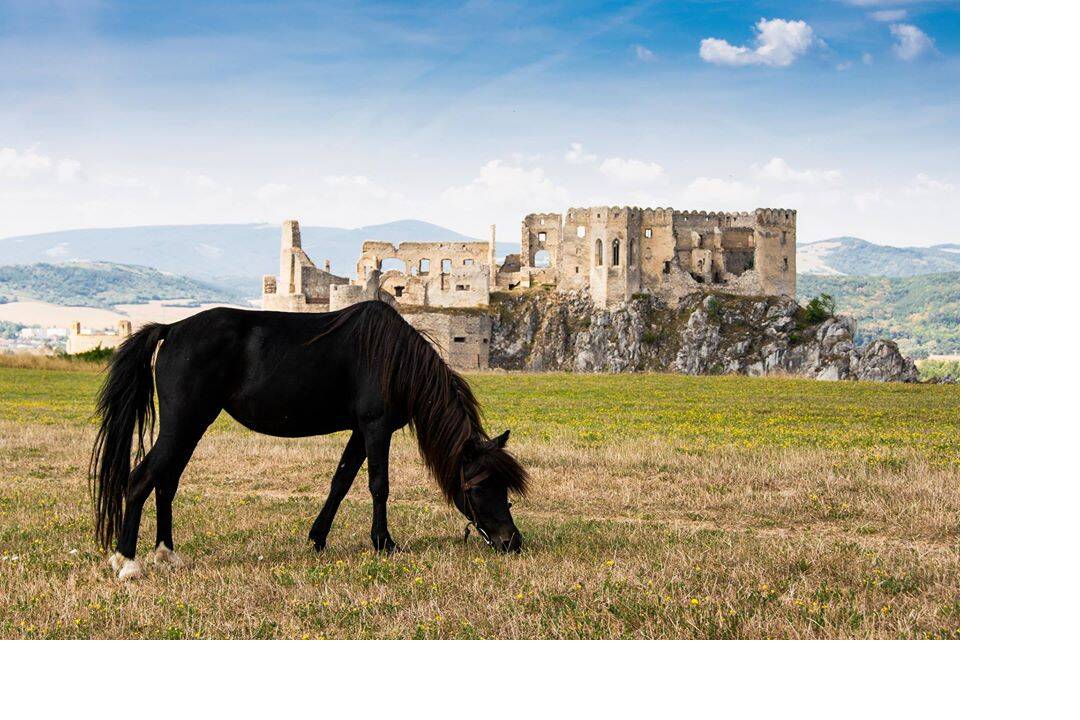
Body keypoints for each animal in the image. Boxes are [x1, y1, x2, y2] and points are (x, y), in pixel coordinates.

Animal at [90, 297, 529, 578]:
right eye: (479, 488)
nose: (512, 541)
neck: (394, 358)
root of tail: (171, 328)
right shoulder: (375, 426)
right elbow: (378, 484)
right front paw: (384, 542)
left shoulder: (360, 430)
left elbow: (341, 481)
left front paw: (317, 538)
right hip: (183, 424)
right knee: (141, 480)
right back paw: (127, 562)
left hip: (191, 428)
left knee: (166, 484)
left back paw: (166, 555)